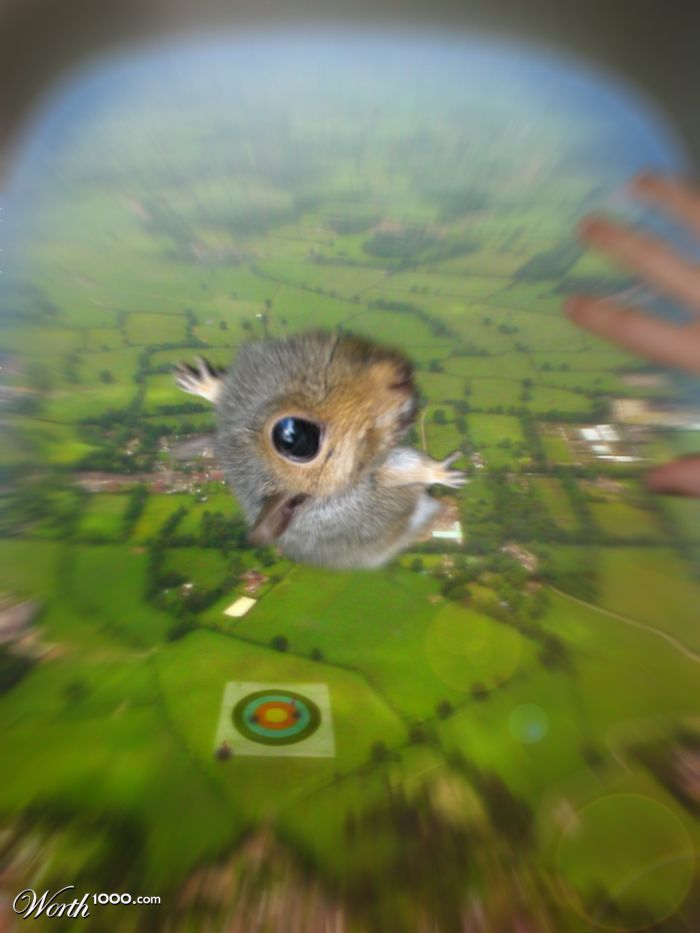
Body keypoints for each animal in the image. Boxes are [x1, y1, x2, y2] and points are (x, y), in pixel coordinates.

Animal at [174, 331, 465, 569]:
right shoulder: (367, 483)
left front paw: (205, 384)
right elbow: (406, 469)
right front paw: (442, 473)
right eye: (294, 436)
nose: (399, 373)